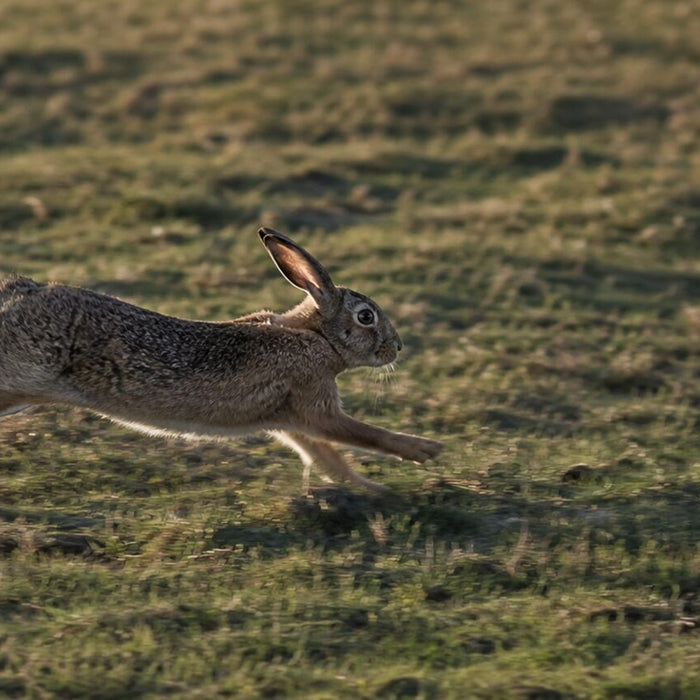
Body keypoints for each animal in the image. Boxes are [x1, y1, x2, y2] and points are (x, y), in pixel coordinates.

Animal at [0, 227, 443, 493]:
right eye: (366, 316)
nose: (397, 347)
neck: (316, 337)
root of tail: (15, 296)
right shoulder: (314, 404)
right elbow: (361, 433)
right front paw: (425, 451)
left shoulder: (288, 419)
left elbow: (326, 457)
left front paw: (372, 490)